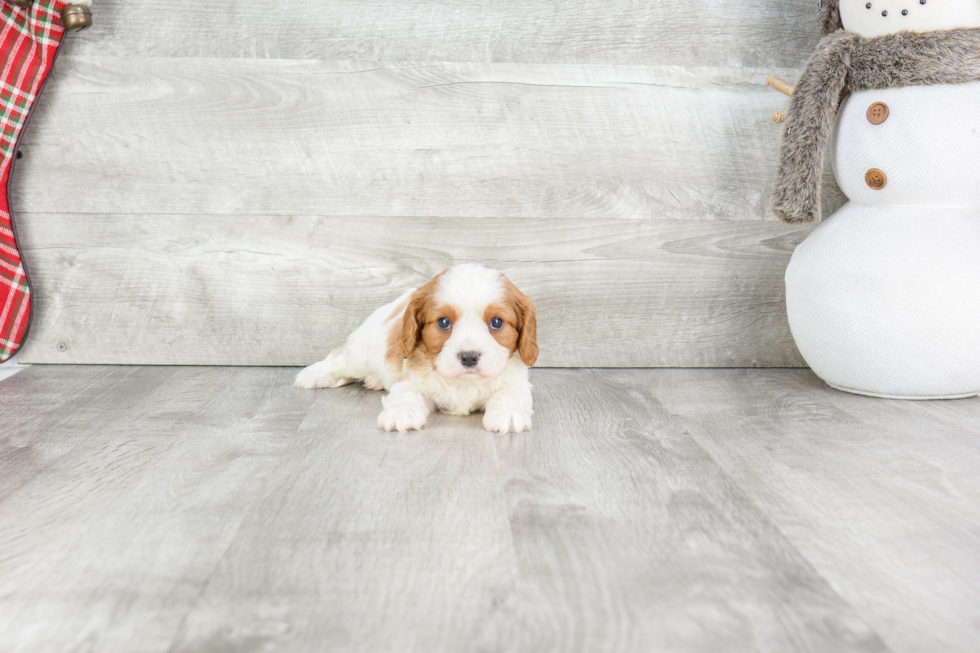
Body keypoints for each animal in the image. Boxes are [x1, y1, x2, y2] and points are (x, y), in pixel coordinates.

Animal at [294, 262, 540, 436]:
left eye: (496, 322)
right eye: (443, 322)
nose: (469, 357)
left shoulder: (518, 383)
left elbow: (508, 393)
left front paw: (507, 414)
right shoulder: (410, 380)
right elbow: (407, 393)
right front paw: (401, 412)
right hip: (359, 355)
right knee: (339, 357)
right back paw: (314, 375)